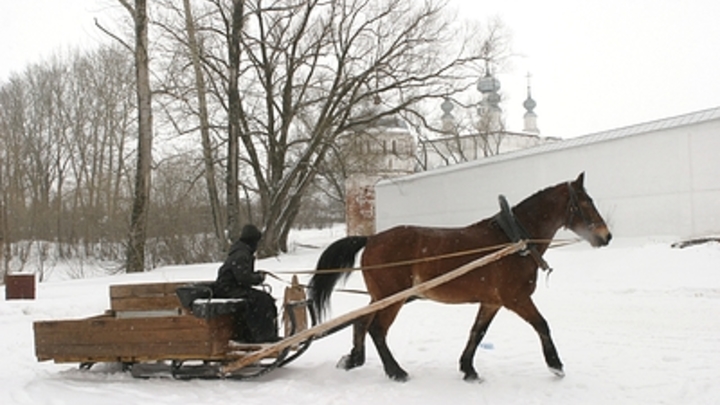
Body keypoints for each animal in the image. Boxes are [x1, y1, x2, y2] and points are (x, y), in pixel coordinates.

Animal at [306, 172, 612, 380]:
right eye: (585, 202)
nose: (606, 236)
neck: (513, 240)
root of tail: (371, 238)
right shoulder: (516, 299)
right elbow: (542, 325)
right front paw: (555, 365)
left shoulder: (492, 301)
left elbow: (477, 332)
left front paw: (468, 368)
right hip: (392, 297)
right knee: (377, 329)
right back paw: (395, 371)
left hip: (380, 296)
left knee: (360, 322)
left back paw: (354, 359)